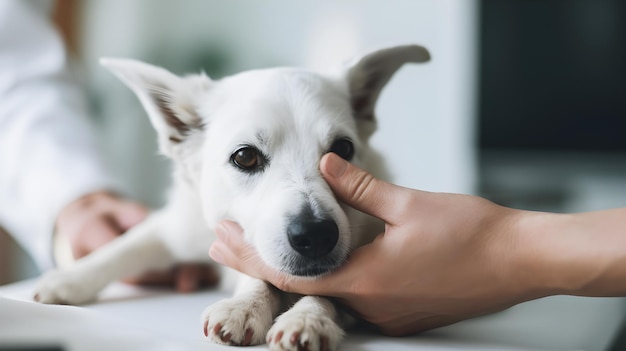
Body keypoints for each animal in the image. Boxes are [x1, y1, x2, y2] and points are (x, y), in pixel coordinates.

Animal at [34, 45, 428, 350]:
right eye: (245, 157)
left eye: (343, 151)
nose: (316, 235)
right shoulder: (180, 227)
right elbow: (126, 246)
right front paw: (68, 279)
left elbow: (327, 291)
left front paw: (307, 318)